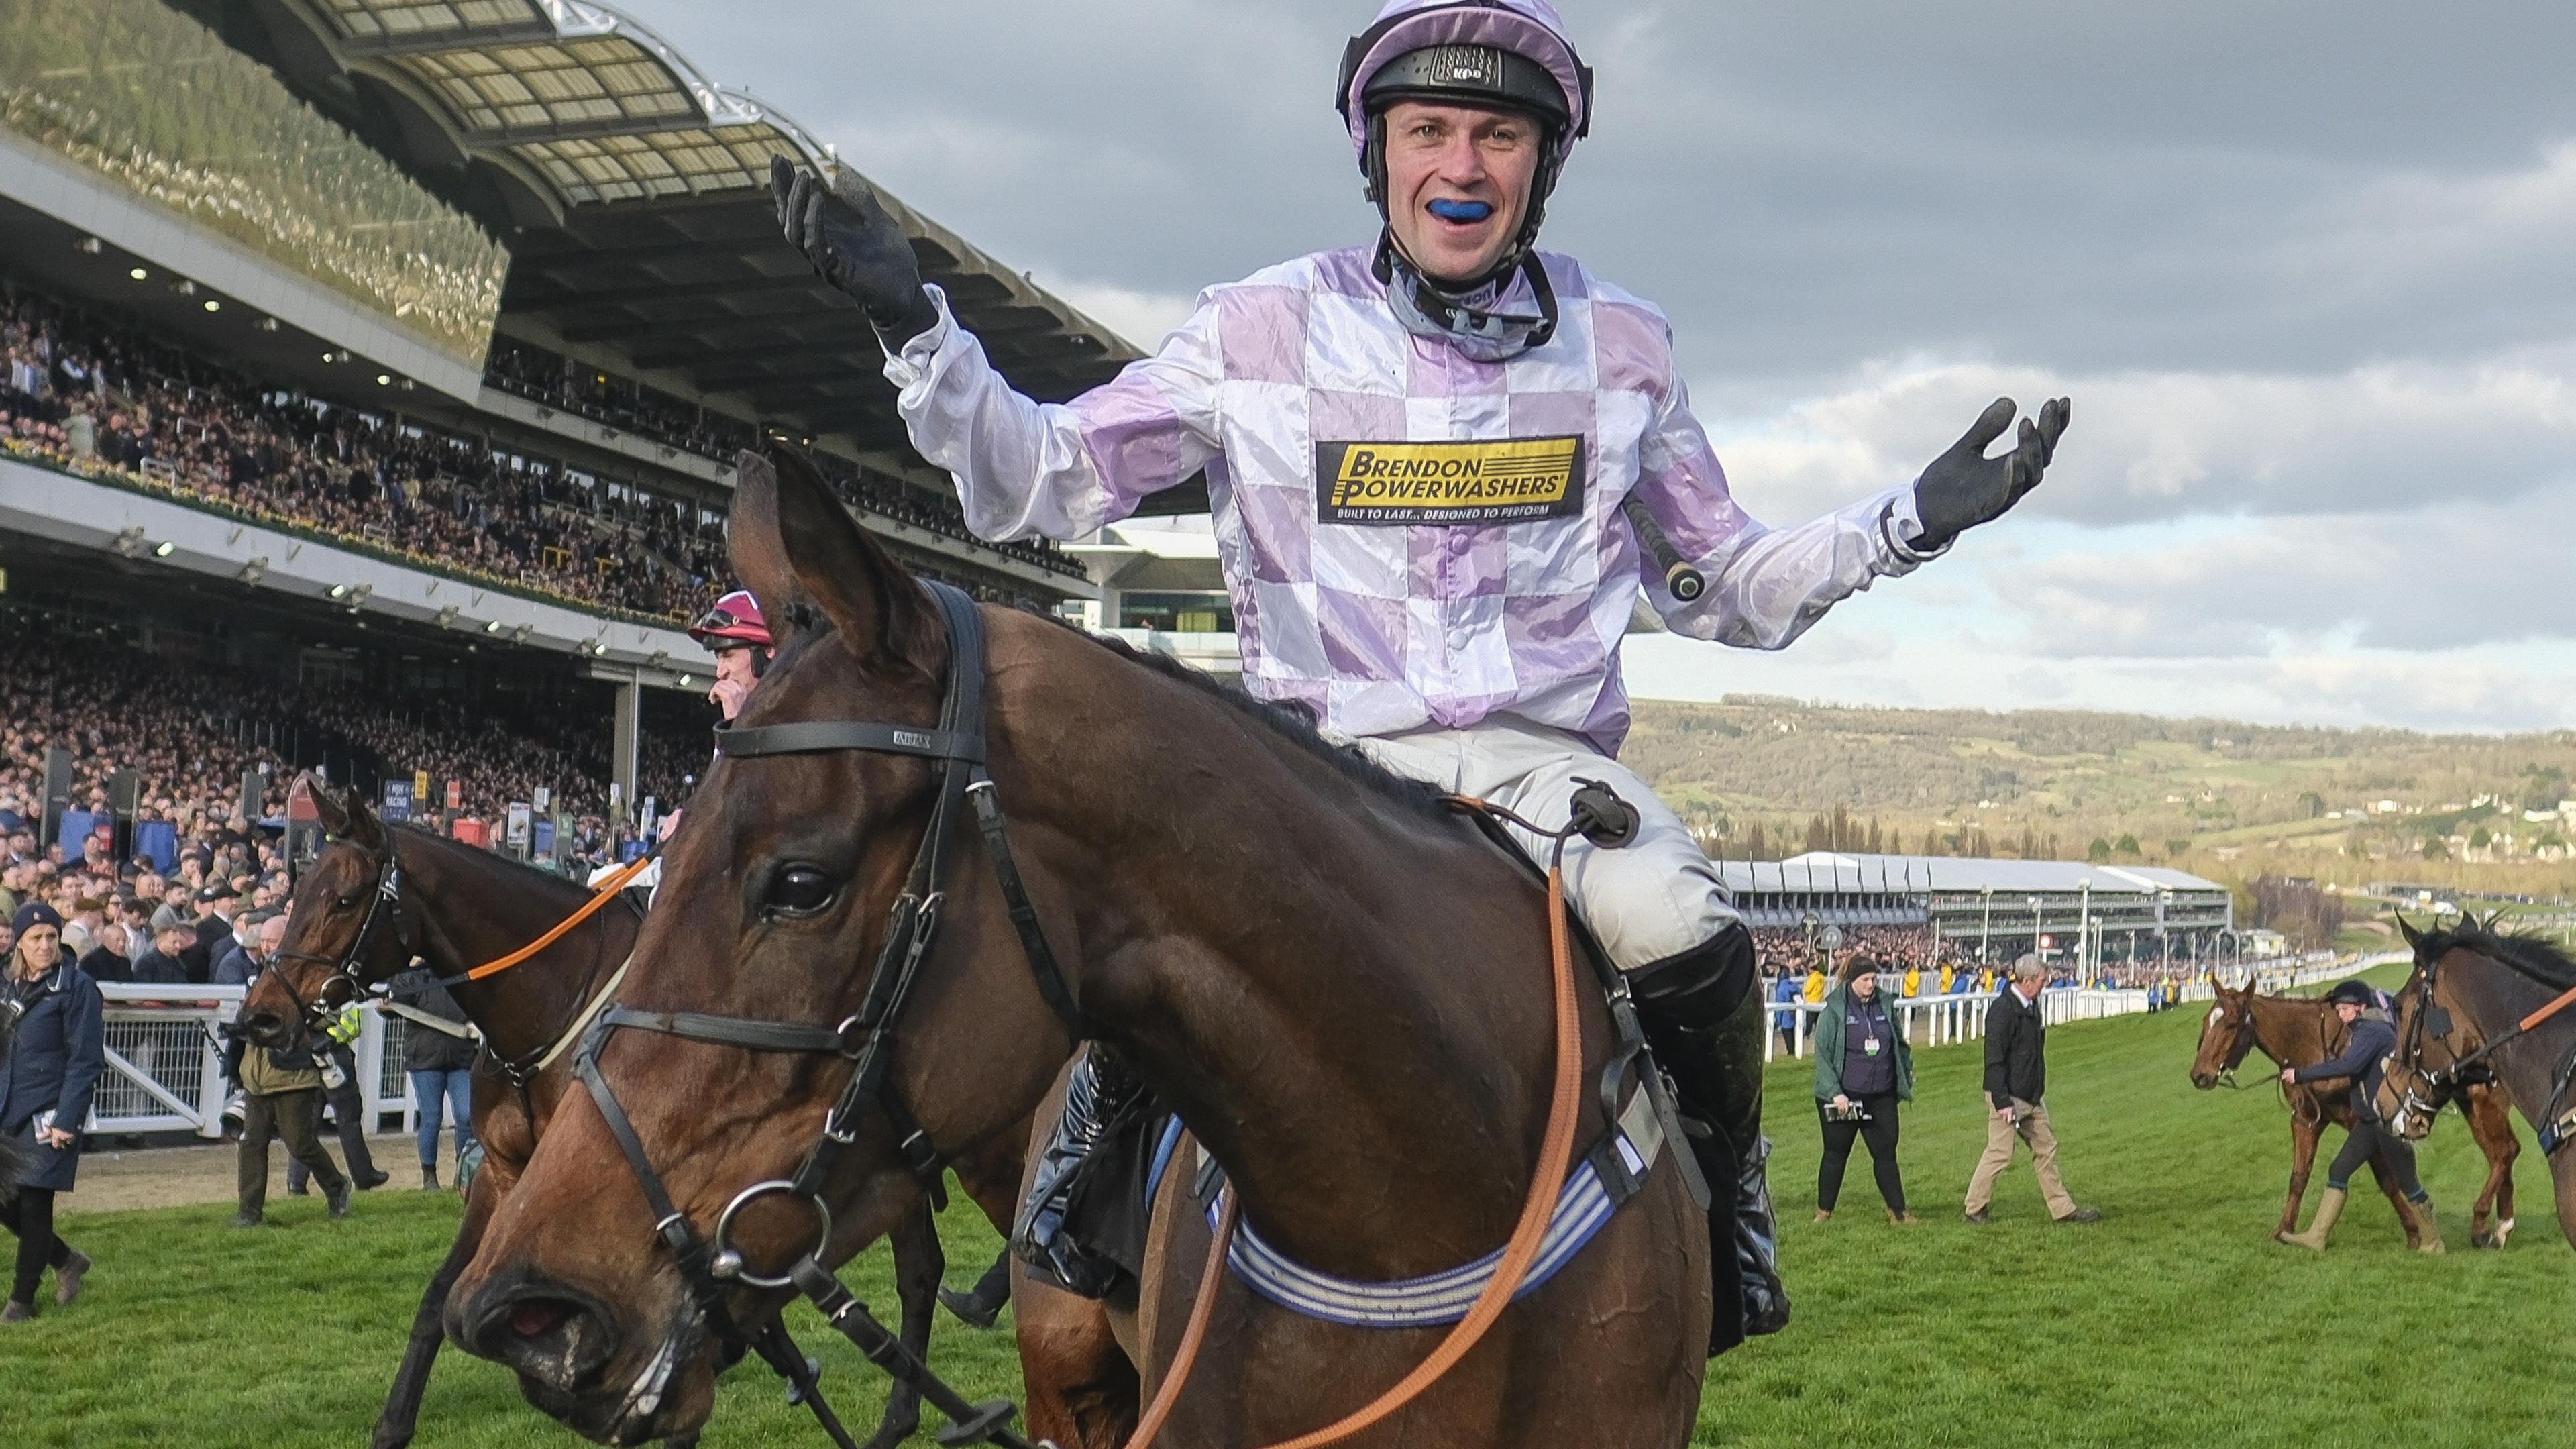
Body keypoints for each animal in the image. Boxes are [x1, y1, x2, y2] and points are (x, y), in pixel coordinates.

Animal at [231, 789, 1014, 1444]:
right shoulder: (507, 1177)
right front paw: (393, 1425)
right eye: (298, 889)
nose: (261, 1016)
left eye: (343, 899)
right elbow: (437, 1300)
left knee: (930, 1266)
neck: (555, 1006)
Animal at [2184, 979, 2524, 1242]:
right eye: (2205, 1022)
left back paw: (2484, 1223)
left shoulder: (2362, 1122)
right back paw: (2500, 1225)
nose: (2199, 1075)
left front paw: (2414, 1232)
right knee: (2502, 1153)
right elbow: (2299, 1176)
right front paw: (2284, 1230)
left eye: (2230, 1024)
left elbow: (2386, 1179)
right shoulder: (2306, 1120)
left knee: (2504, 1152)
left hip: (2484, 1104)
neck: (2316, 1044)